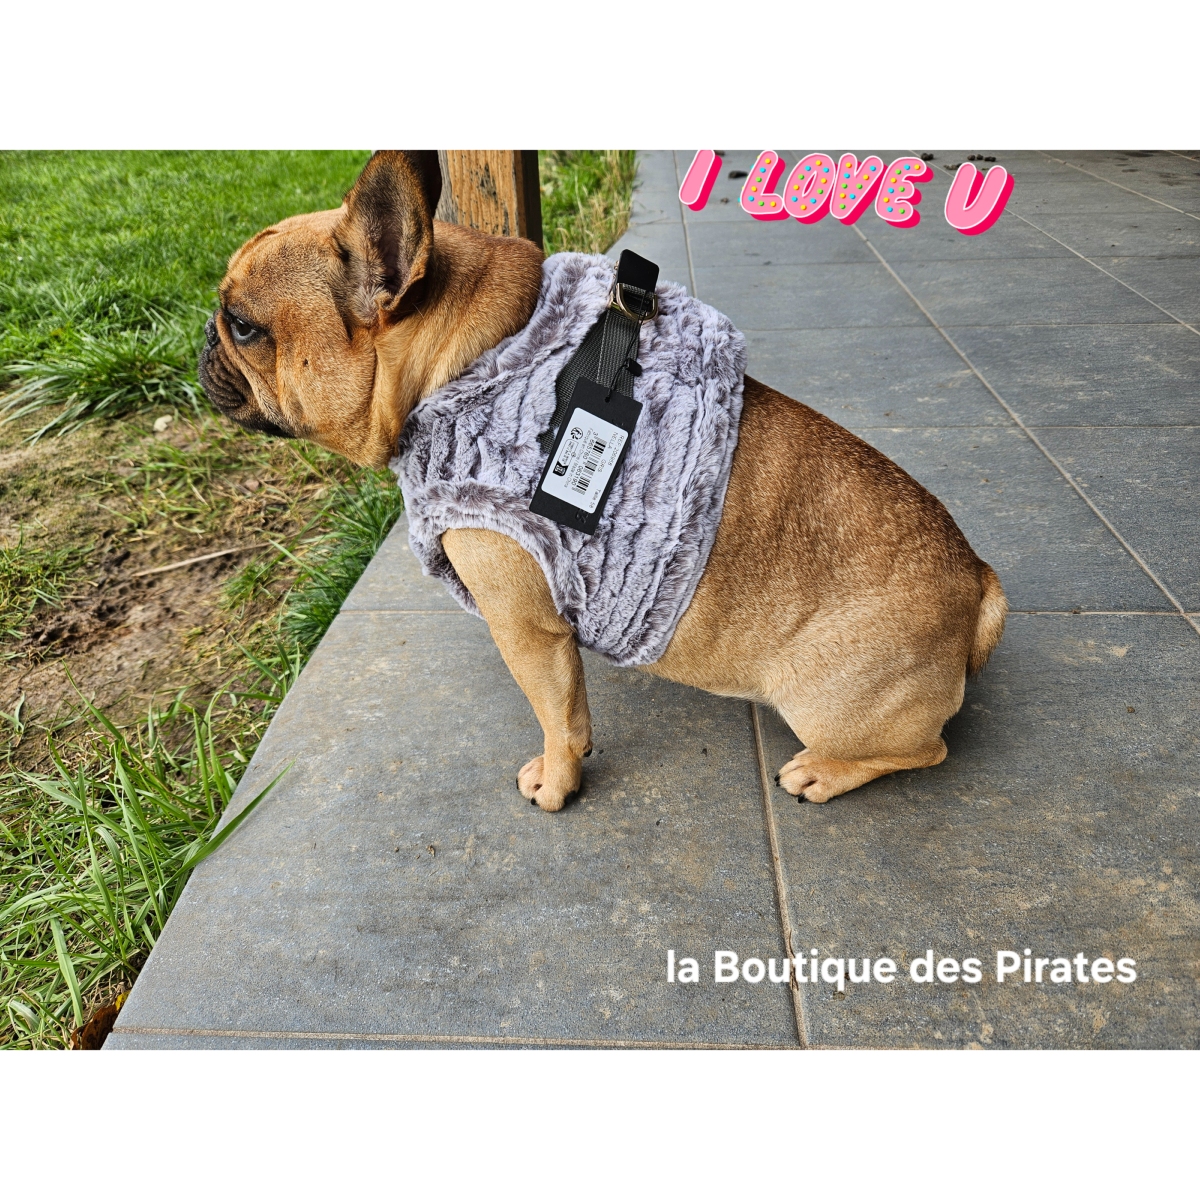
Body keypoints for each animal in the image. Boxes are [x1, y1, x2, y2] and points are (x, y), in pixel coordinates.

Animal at [199, 150, 1007, 811]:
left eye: (242, 325)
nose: (204, 338)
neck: (461, 363)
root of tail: (978, 582)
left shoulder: (525, 627)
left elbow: (556, 718)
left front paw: (558, 784)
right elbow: (572, 710)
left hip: (828, 698)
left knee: (926, 748)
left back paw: (822, 772)